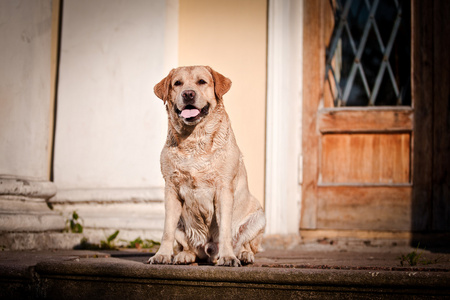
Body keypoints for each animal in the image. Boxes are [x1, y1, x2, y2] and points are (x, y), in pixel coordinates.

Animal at [148, 65, 268, 268]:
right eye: (177, 83)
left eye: (202, 82)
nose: (188, 94)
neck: (194, 140)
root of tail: (209, 251)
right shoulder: (171, 189)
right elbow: (166, 231)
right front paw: (162, 254)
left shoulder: (223, 189)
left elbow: (225, 229)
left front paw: (228, 257)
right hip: (182, 224)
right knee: (188, 246)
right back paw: (185, 256)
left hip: (258, 218)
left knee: (245, 244)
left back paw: (243, 255)